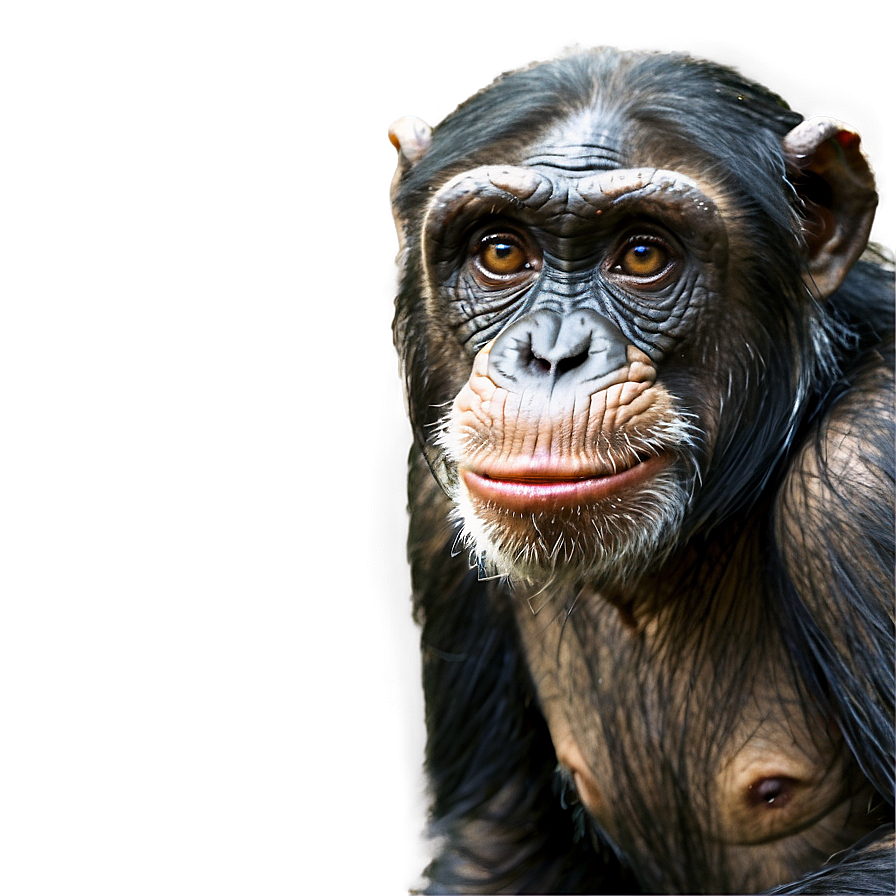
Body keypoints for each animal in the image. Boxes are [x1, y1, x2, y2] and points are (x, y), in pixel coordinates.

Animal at [387, 48, 894, 894]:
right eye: (500, 253)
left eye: (643, 255)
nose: (553, 353)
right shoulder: (432, 513)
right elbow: (496, 846)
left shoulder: (870, 477)